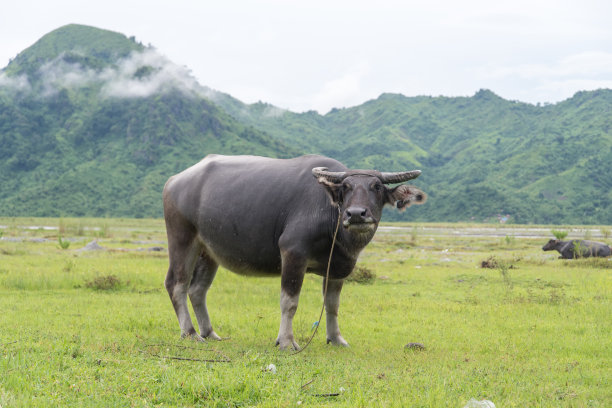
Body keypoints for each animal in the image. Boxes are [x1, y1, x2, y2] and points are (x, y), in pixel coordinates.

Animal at [165, 155, 428, 350]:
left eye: (376, 187)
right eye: (346, 187)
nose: (356, 214)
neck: (331, 218)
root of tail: (174, 181)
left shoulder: (337, 267)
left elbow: (332, 304)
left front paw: (336, 338)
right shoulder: (293, 253)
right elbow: (289, 302)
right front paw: (286, 341)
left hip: (208, 251)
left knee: (197, 290)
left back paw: (209, 333)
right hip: (182, 239)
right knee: (176, 284)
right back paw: (190, 333)